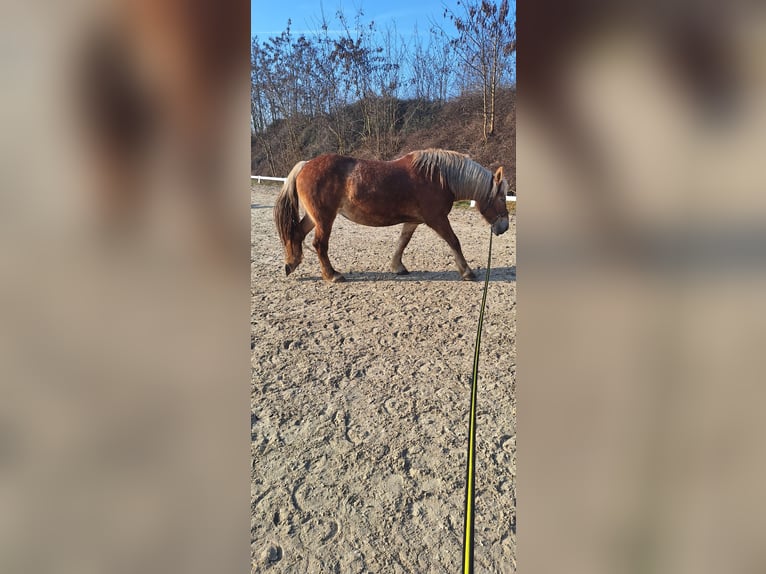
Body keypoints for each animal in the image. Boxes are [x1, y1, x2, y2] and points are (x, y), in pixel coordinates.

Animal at [274, 149, 510, 282]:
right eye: (502, 197)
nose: (505, 226)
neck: (439, 177)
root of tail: (306, 164)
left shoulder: (413, 221)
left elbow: (402, 242)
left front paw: (397, 266)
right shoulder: (437, 219)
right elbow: (454, 241)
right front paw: (467, 271)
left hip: (314, 217)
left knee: (297, 234)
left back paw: (292, 263)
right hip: (324, 218)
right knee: (319, 244)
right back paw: (332, 275)